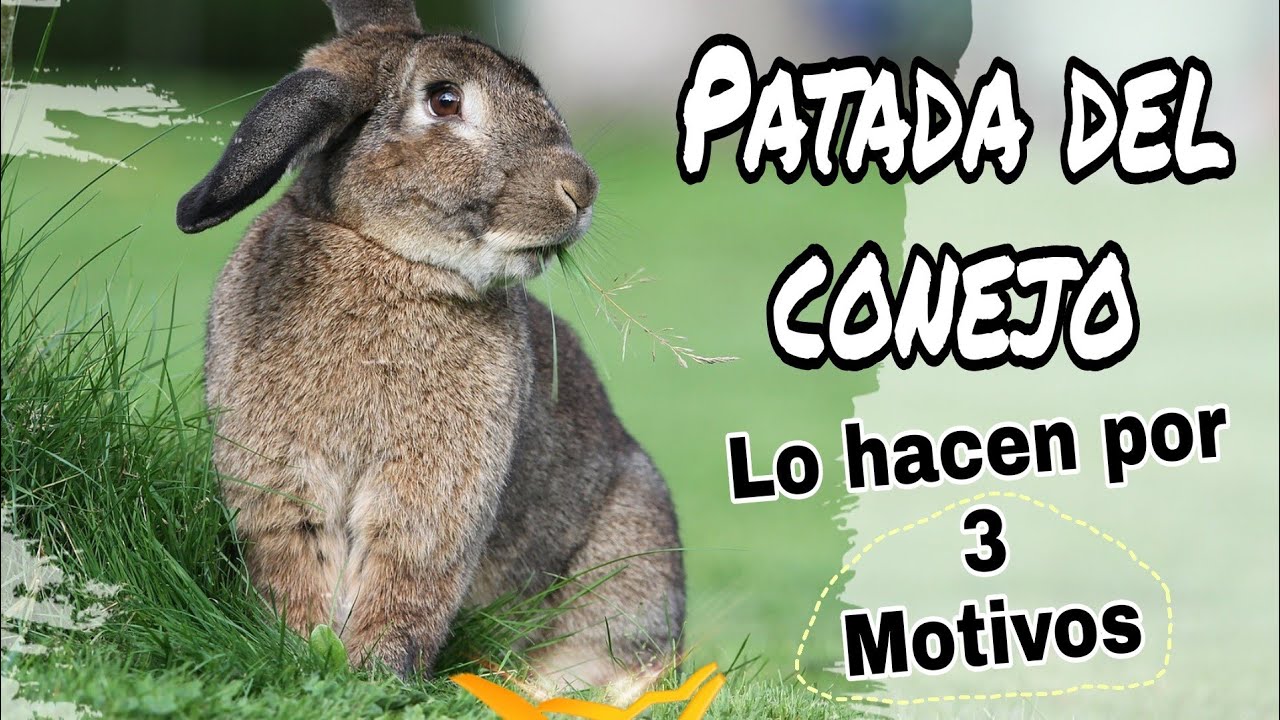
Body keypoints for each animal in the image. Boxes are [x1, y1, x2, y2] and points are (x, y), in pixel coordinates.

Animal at [175, 0, 685, 697]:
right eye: (444, 100)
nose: (580, 190)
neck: (385, 253)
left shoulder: (431, 497)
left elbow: (405, 580)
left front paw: (375, 675)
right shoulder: (279, 483)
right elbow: (300, 565)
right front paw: (304, 651)